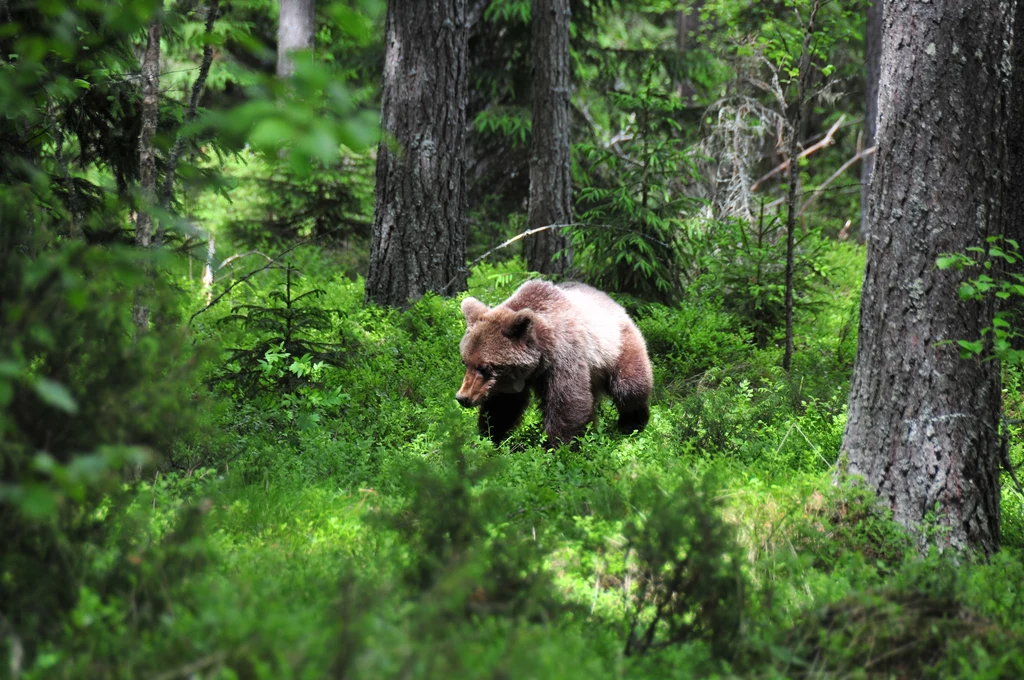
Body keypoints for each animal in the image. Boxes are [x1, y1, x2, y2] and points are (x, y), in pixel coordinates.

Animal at [454, 278, 651, 446]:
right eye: (465, 361)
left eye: (485, 367)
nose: (462, 398)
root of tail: (614, 302)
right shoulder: (510, 381)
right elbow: (502, 407)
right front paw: (488, 439)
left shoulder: (564, 357)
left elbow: (567, 402)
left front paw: (558, 447)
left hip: (618, 348)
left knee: (629, 388)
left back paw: (632, 424)